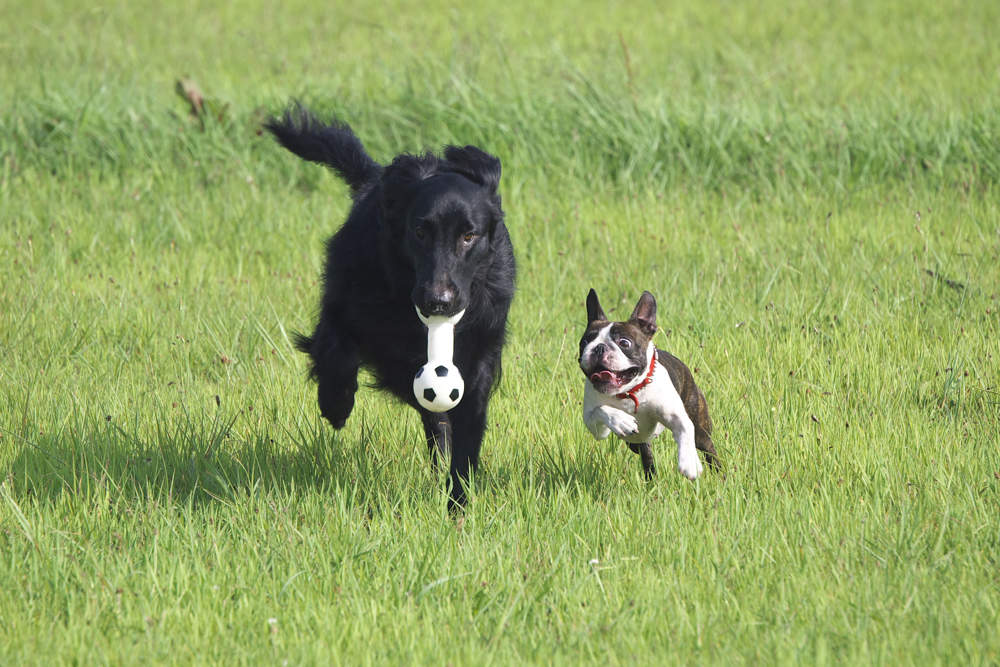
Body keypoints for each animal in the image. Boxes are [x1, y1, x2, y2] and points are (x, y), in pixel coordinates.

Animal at [266, 107, 516, 508]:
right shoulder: (346, 300)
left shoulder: (480, 352)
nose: (438, 301)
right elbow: (335, 346)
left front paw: (458, 502)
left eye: (468, 236)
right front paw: (336, 403)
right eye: (420, 231)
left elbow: (466, 425)